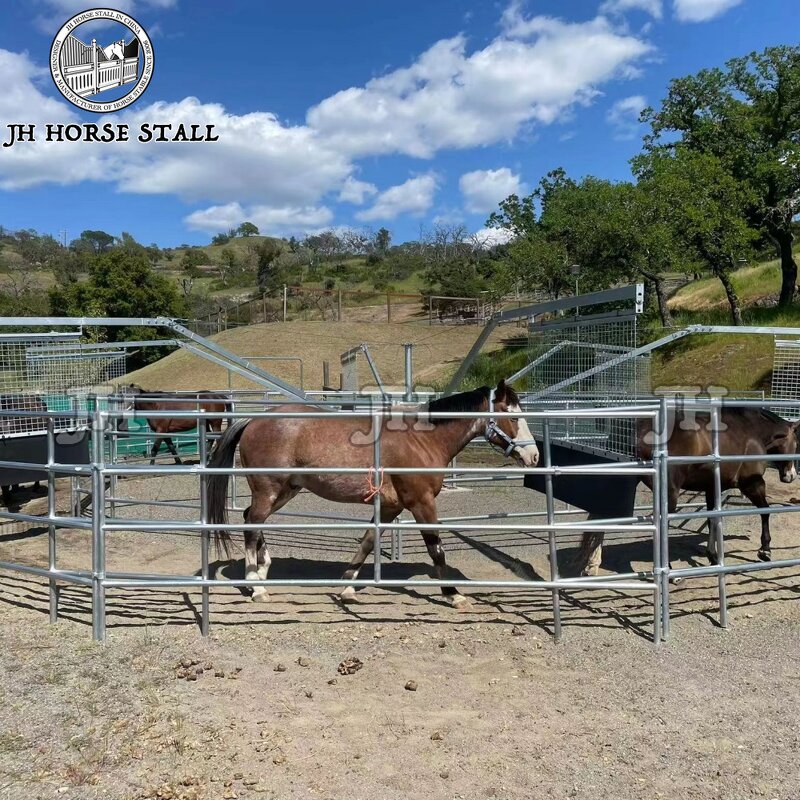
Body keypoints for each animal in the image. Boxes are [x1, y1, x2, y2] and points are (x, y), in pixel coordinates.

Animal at [206, 379, 539, 608]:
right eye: (513, 417)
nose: (534, 456)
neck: (421, 440)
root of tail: (253, 420)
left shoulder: (391, 507)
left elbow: (367, 543)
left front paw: (347, 588)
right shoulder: (421, 503)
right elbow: (436, 548)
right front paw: (453, 594)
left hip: (287, 490)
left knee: (251, 519)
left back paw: (263, 570)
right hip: (269, 490)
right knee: (252, 524)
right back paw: (257, 587)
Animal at [577, 407, 799, 575]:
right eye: (796, 442)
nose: (790, 475)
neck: (750, 432)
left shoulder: (712, 488)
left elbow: (712, 519)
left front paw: (712, 556)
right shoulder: (751, 483)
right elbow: (765, 511)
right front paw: (765, 551)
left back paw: (590, 564)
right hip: (669, 495)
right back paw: (668, 571)